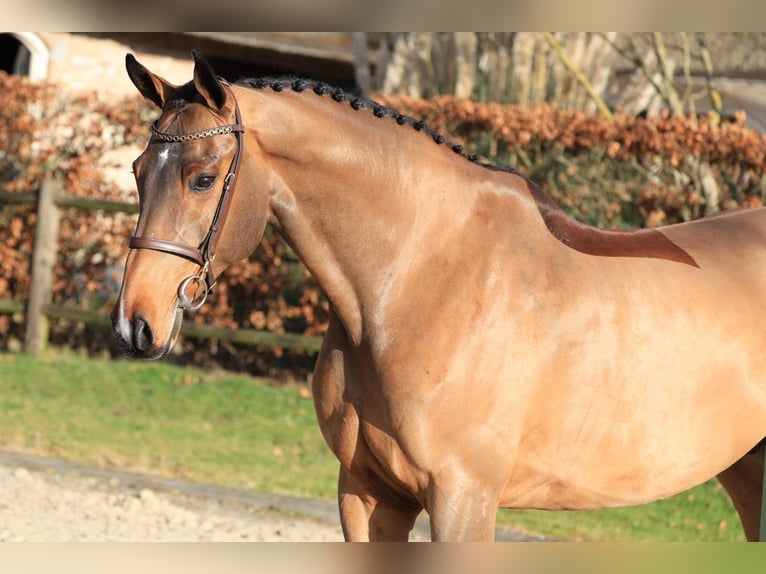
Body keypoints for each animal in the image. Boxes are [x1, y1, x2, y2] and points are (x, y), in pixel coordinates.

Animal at [111, 50, 766, 541]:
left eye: (201, 178)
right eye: (138, 171)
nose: (134, 325)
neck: (416, 280)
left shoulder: (464, 499)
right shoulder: (367, 494)